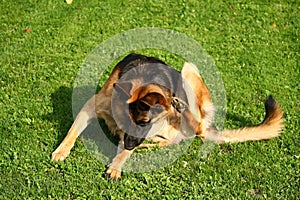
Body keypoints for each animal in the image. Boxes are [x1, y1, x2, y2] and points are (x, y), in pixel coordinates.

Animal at [51, 53, 284, 180]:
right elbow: (72, 131)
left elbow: (124, 152)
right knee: (175, 139)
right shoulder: (92, 106)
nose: (131, 144)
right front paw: (61, 150)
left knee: (193, 128)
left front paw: (117, 165)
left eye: (145, 123)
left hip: (188, 70)